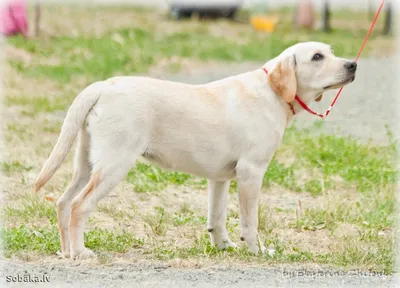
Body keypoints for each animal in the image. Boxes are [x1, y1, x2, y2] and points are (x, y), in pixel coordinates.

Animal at [33, 41, 356, 260]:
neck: (273, 93)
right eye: (317, 57)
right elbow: (250, 222)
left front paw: (223, 247)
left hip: (85, 164)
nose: (352, 64)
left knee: (63, 202)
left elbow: (217, 218)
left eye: (331, 51)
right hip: (114, 165)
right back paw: (81, 252)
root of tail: (103, 85)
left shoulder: (220, 178)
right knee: (79, 206)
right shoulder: (251, 173)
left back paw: (66, 251)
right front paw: (257, 250)